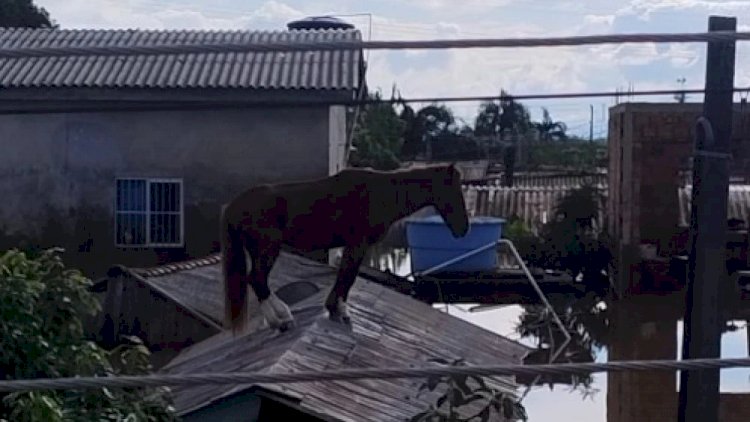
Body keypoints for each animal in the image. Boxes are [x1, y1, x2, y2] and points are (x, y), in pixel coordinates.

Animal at [220, 164, 472, 332]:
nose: (464, 229)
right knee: (257, 279)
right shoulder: (358, 244)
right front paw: (339, 311)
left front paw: (336, 309)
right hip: (268, 250)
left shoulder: (355, 246)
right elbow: (348, 276)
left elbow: (346, 276)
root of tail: (233, 205)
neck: (382, 193)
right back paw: (282, 318)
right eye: (455, 191)